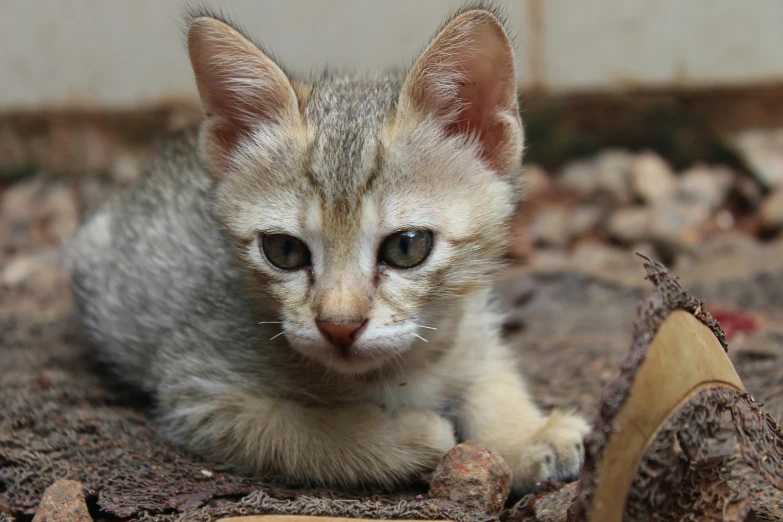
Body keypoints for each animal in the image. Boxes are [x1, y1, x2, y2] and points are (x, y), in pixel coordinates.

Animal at [70, 4, 588, 492]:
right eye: (283, 250)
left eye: (407, 247)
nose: (340, 327)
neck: (400, 369)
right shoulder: (199, 390)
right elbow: (301, 432)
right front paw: (406, 435)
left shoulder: (473, 324)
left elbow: (491, 375)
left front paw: (527, 434)